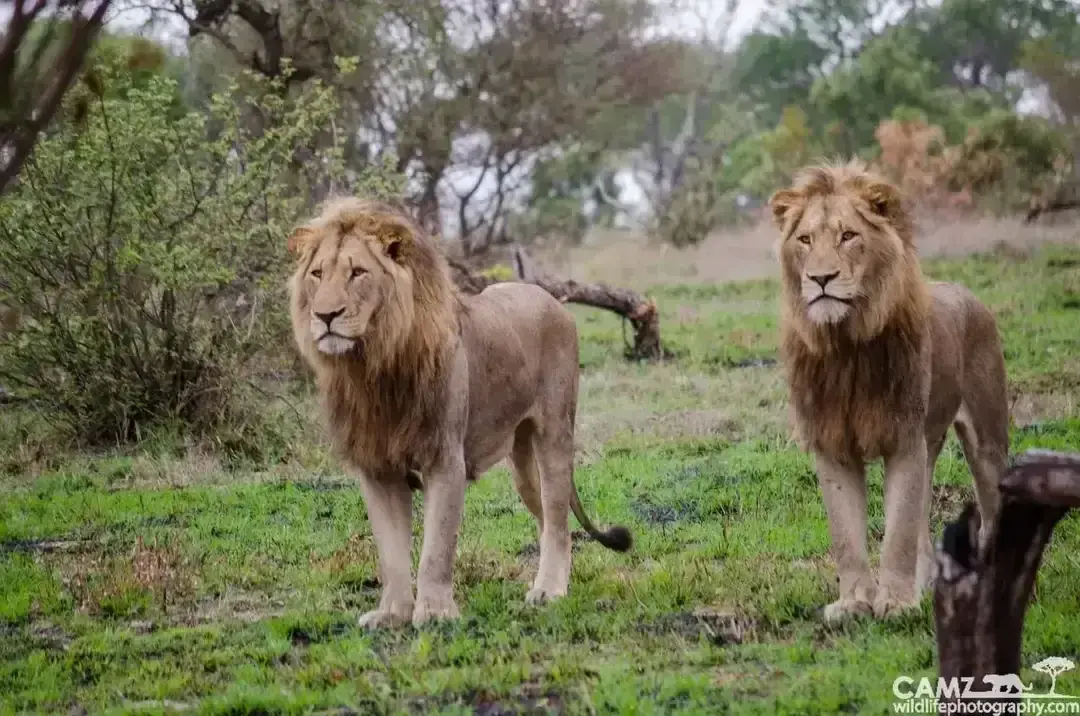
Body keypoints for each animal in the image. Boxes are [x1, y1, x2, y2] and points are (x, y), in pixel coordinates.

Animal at [287, 197, 632, 628]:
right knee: (555, 524)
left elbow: (437, 546)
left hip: (555, 433)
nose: (325, 316)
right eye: (317, 274)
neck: (371, 368)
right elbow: (391, 553)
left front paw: (435, 614)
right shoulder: (377, 468)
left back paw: (549, 590)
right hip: (522, 467)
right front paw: (392, 613)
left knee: (556, 516)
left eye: (358, 273)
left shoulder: (445, 459)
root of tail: (550, 298)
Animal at [767, 161, 1008, 622]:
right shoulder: (833, 445)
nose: (820, 278)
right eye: (805, 240)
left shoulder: (903, 439)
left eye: (848, 236)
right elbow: (846, 535)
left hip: (986, 443)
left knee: (991, 510)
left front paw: (896, 603)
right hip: (930, 446)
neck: (846, 347)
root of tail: (965, 290)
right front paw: (854, 602)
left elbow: (897, 532)